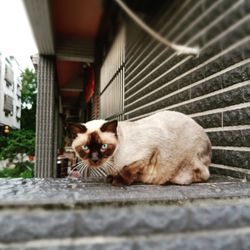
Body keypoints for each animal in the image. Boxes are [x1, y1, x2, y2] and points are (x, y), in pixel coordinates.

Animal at [67, 111, 211, 186]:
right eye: (85, 147)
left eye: (103, 146)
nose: (95, 159)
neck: (112, 162)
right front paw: (111, 177)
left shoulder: (149, 153)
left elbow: (127, 170)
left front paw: (118, 181)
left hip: (183, 173)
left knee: (202, 176)